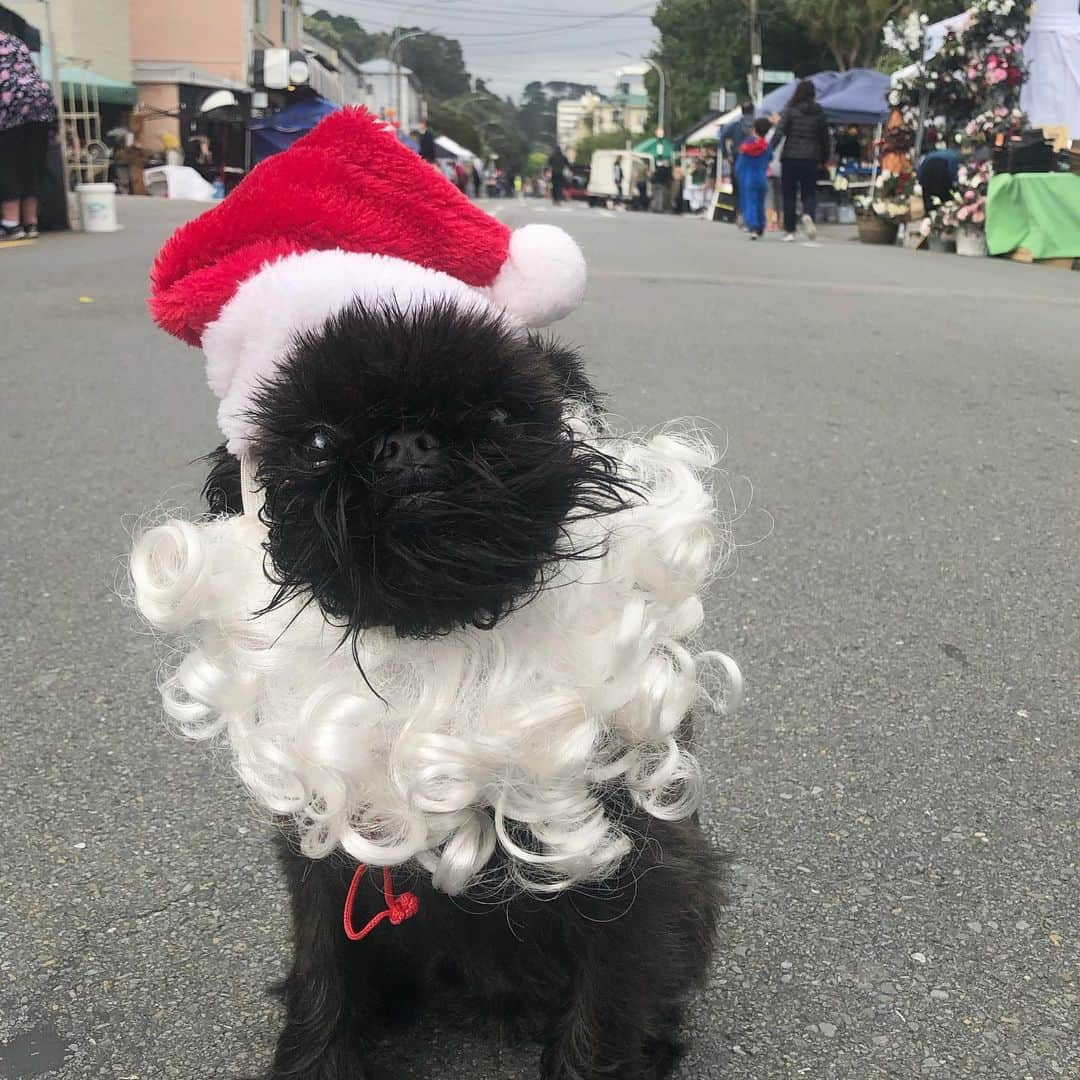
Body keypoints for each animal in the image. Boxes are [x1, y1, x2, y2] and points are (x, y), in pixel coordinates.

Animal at [201, 302, 725, 1080]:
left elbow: (604, 1011)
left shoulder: (629, 866)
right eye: (317, 441)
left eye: (503, 415)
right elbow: (322, 979)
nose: (405, 442)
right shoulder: (321, 858)